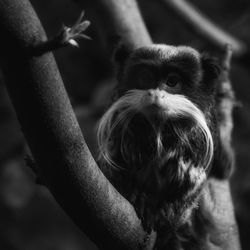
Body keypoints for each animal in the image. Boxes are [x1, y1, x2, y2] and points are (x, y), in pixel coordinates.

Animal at [96, 44, 233, 249]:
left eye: (172, 81)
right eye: (146, 77)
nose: (154, 93)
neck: (159, 131)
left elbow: (191, 190)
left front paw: (164, 219)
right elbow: (114, 175)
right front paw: (138, 198)